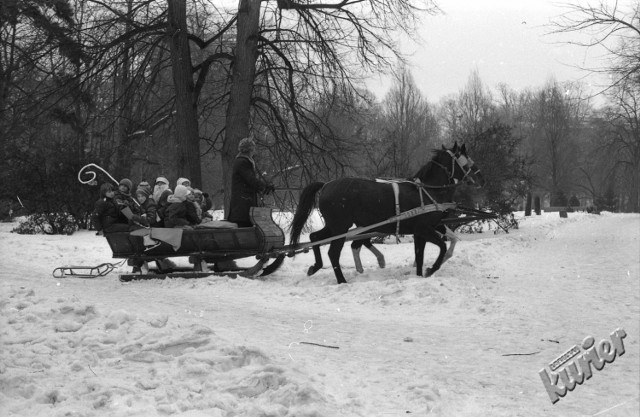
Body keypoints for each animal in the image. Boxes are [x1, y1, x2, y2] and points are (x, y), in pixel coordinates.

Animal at [290, 143, 484, 282]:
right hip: (340, 226)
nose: (480, 177)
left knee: (315, 237)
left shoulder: (425, 230)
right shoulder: (424, 229)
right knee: (333, 253)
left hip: (335, 226)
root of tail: (326, 185)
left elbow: (422, 254)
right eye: (466, 159)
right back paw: (341, 280)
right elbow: (442, 247)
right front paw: (431, 270)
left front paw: (420, 274)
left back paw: (315, 266)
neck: (427, 191)